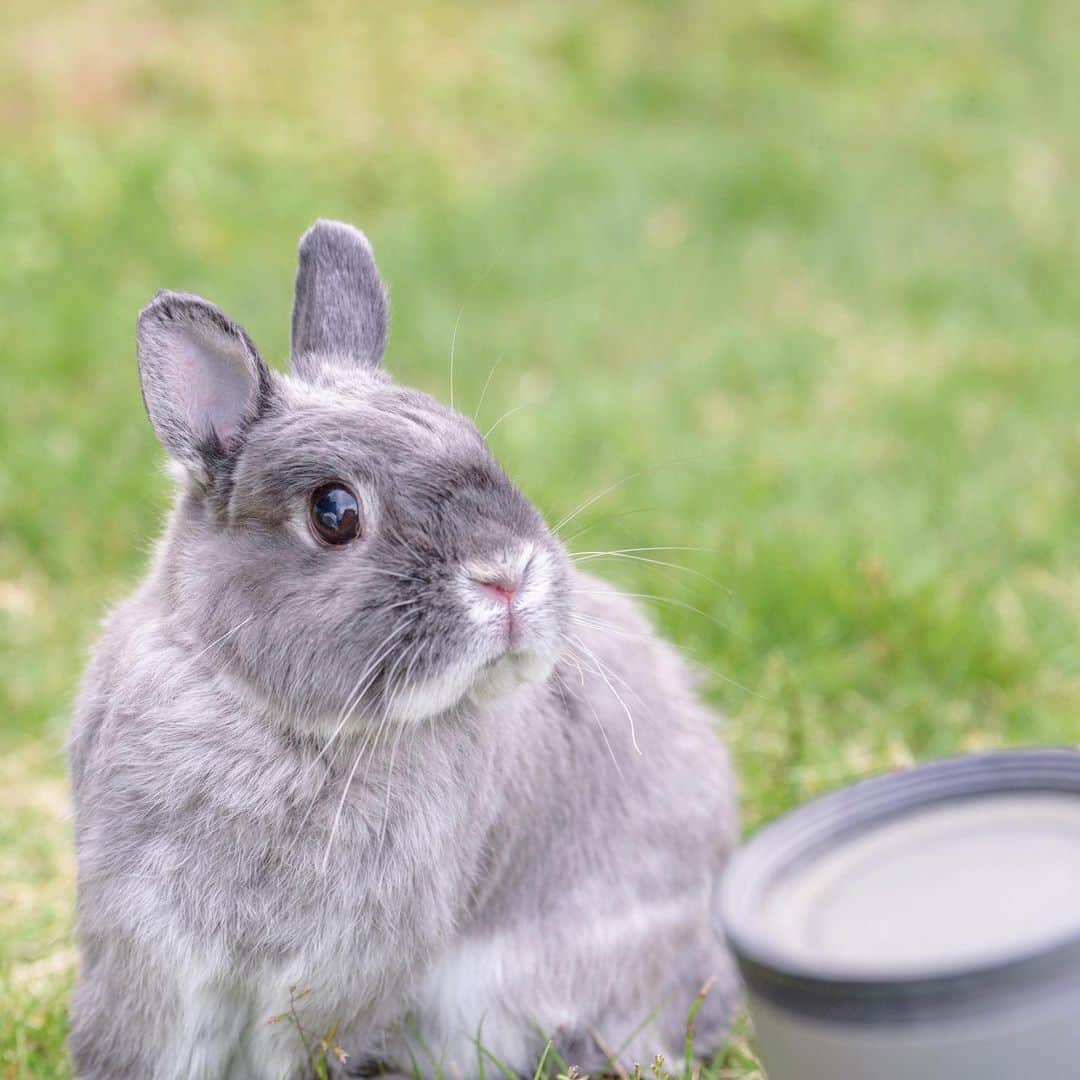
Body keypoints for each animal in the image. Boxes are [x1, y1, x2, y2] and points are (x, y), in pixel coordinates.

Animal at [69, 221, 743, 1080]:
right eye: (334, 512)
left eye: (477, 443)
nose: (507, 574)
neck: (288, 726)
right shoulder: (155, 951)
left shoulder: (339, 976)